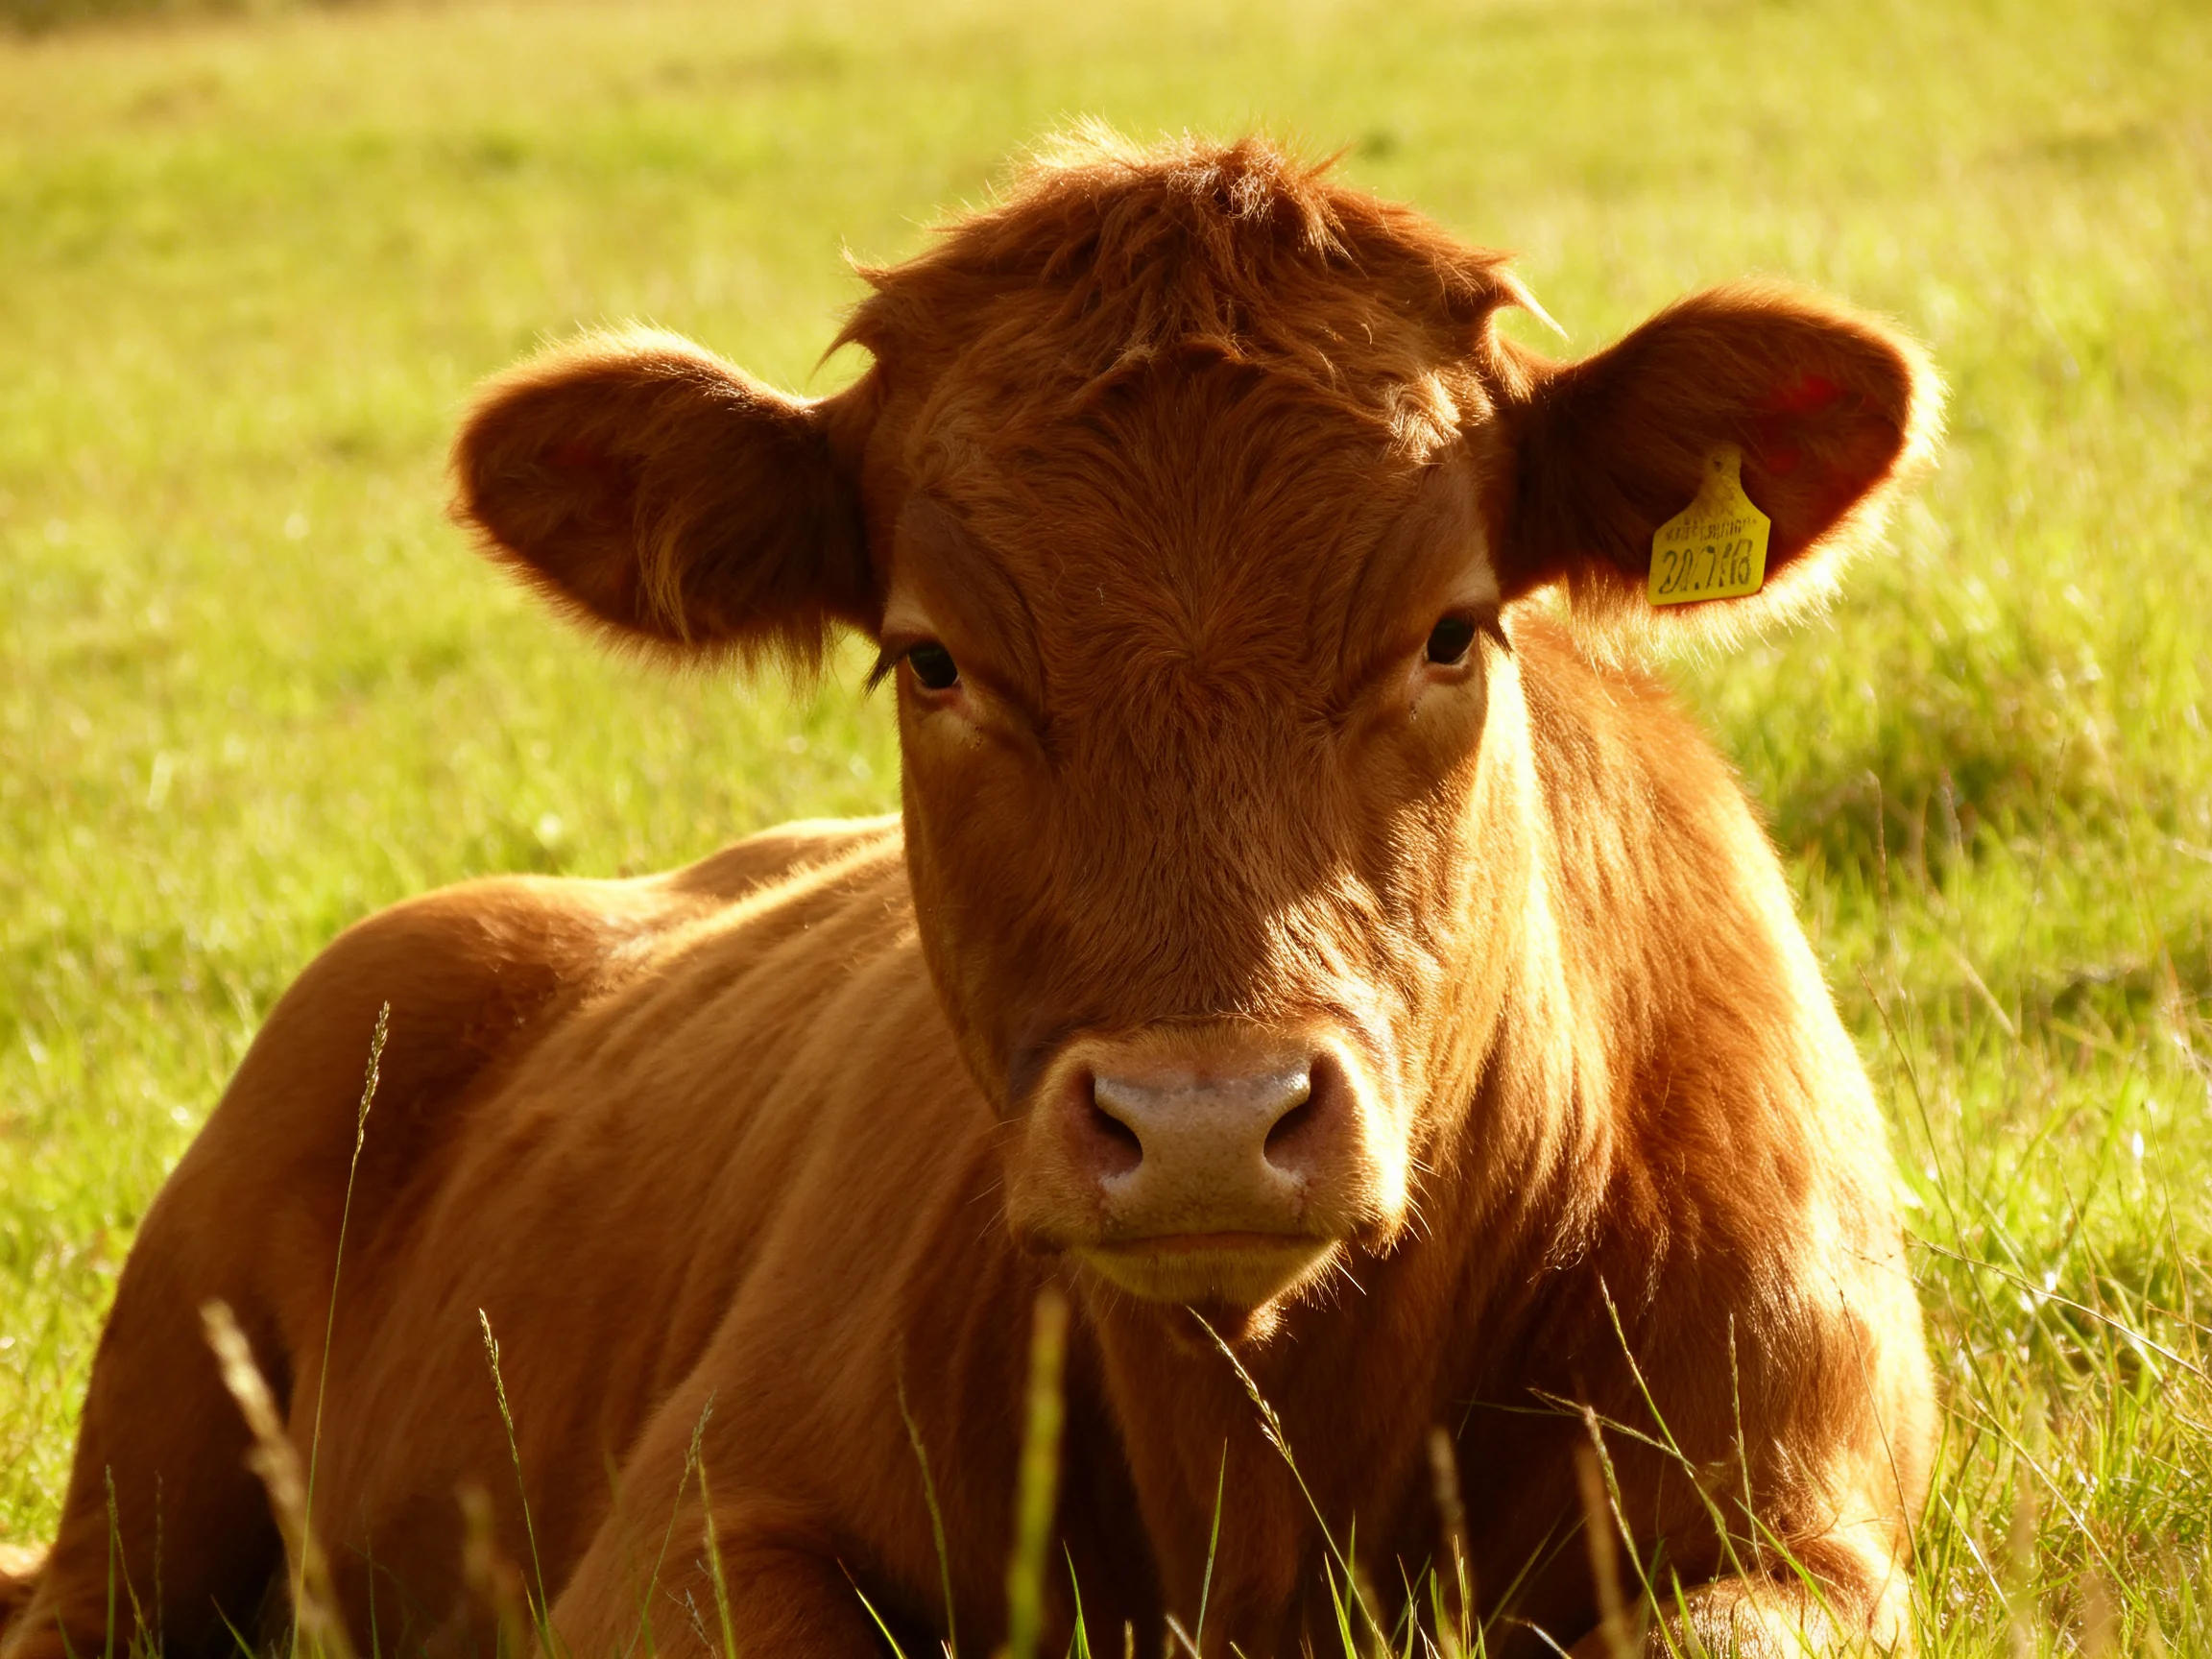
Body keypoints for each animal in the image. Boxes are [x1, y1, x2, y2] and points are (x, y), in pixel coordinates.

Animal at [0, 131, 1940, 1659]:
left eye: (1452, 630)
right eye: (932, 660)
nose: (1205, 1123)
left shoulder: (1792, 1515)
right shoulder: (693, 1525)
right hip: (152, 1451)